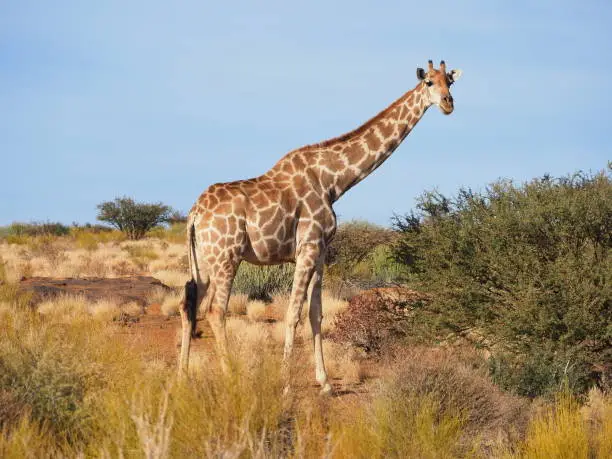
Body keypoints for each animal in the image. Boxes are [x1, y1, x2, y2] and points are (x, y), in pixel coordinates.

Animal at [179, 59, 462, 394]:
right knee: (215, 310)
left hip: (203, 260)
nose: (448, 103)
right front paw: (286, 383)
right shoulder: (308, 247)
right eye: (429, 82)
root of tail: (195, 213)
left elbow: (316, 314)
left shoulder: (322, 252)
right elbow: (292, 313)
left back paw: (181, 375)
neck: (333, 181)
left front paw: (324, 382)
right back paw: (230, 376)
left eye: (450, 82)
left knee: (189, 305)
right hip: (227, 256)